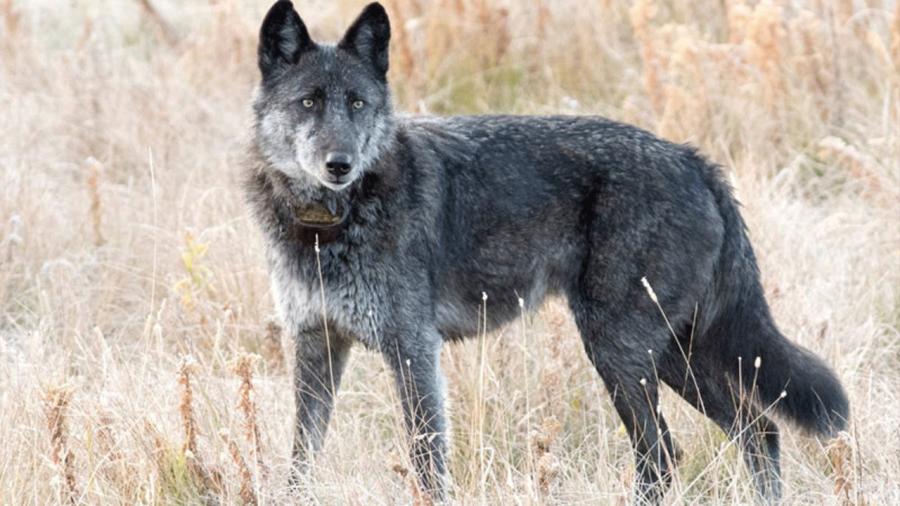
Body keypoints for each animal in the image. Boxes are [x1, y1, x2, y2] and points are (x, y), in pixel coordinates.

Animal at [246, 1, 852, 502]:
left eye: (357, 103)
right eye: (308, 102)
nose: (339, 164)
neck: (328, 227)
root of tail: (694, 160)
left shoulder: (413, 349)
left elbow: (426, 461)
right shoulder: (316, 345)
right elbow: (301, 457)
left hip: (623, 354)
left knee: (663, 455)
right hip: (677, 356)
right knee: (757, 429)